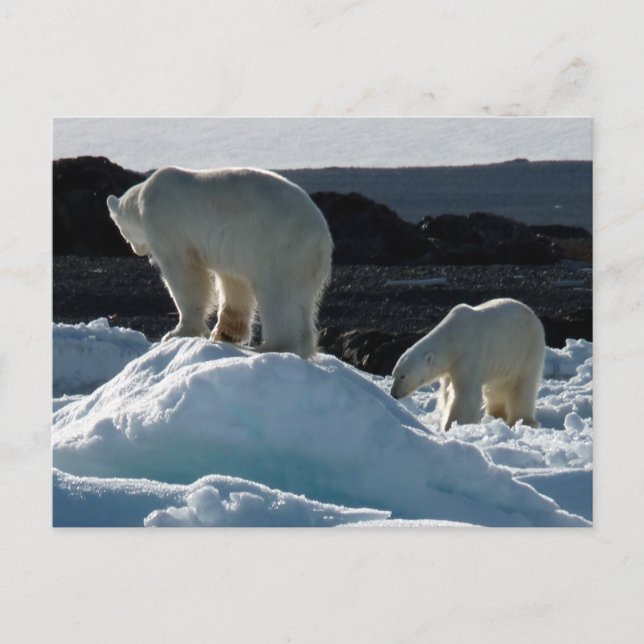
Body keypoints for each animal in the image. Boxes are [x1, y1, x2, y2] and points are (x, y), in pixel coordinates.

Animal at [106, 166, 333, 359]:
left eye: (121, 231)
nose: (136, 251)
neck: (142, 198)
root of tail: (323, 240)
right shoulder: (234, 252)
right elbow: (234, 282)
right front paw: (226, 333)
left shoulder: (165, 224)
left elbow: (185, 274)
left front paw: (177, 332)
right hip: (303, 265)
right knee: (301, 303)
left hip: (280, 250)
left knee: (279, 298)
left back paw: (274, 347)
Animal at [390, 298, 545, 431]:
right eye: (394, 374)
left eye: (403, 376)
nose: (394, 394)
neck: (452, 338)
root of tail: (535, 316)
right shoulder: (451, 365)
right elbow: (447, 390)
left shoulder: (469, 352)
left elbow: (466, 392)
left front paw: (453, 426)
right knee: (496, 387)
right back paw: (495, 414)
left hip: (526, 350)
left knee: (521, 386)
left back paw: (523, 421)